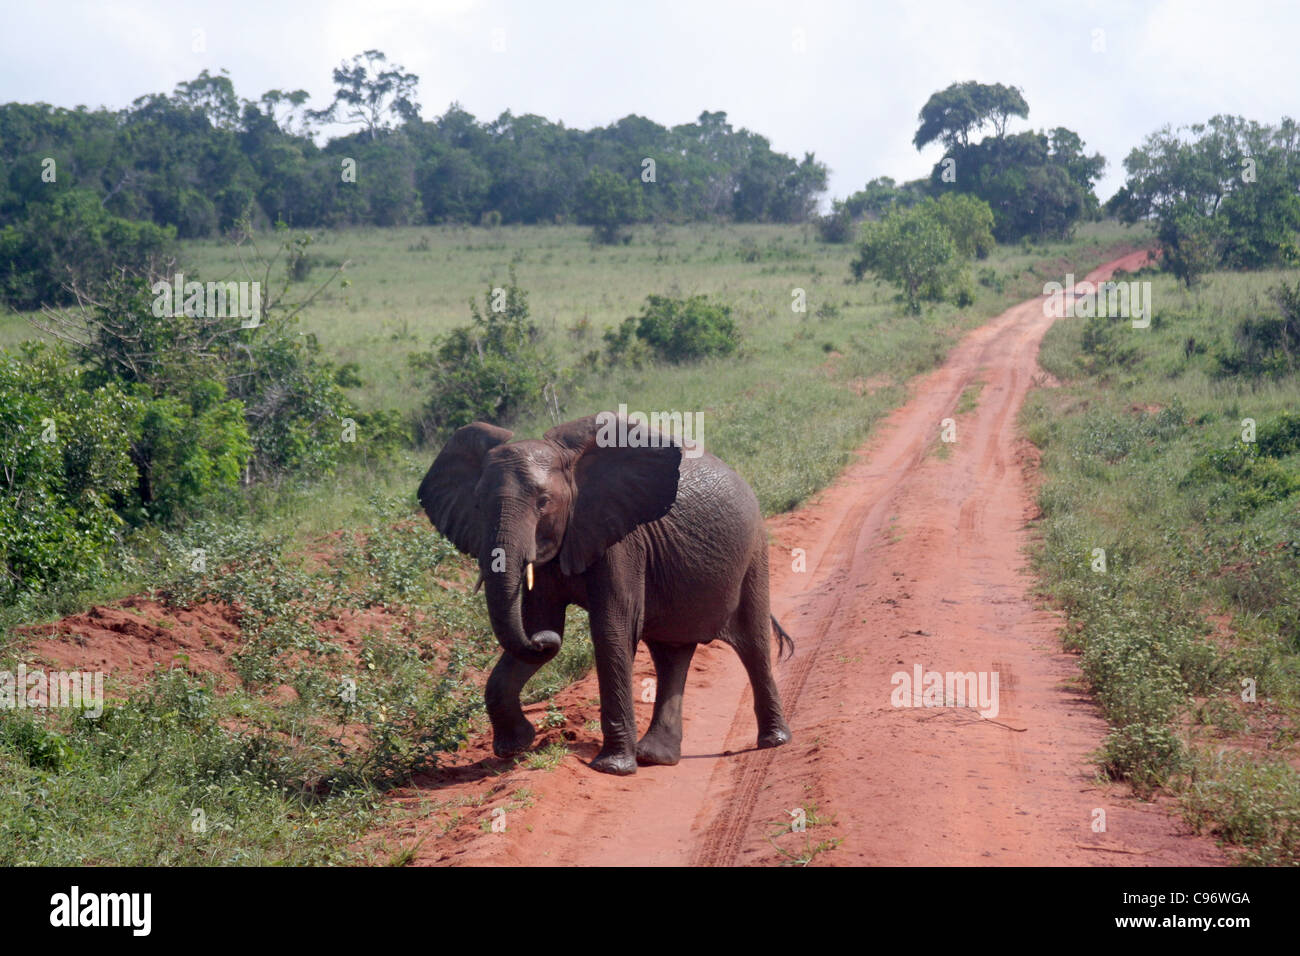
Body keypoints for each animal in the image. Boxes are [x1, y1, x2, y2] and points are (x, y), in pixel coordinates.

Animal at [421, 411, 795, 780]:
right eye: (477, 505)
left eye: (543, 502)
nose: (545, 641)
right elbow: (538, 622)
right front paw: (514, 748)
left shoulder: (624, 541)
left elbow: (611, 630)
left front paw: (612, 768)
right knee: (671, 653)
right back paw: (656, 757)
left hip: (754, 551)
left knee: (753, 642)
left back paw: (773, 741)